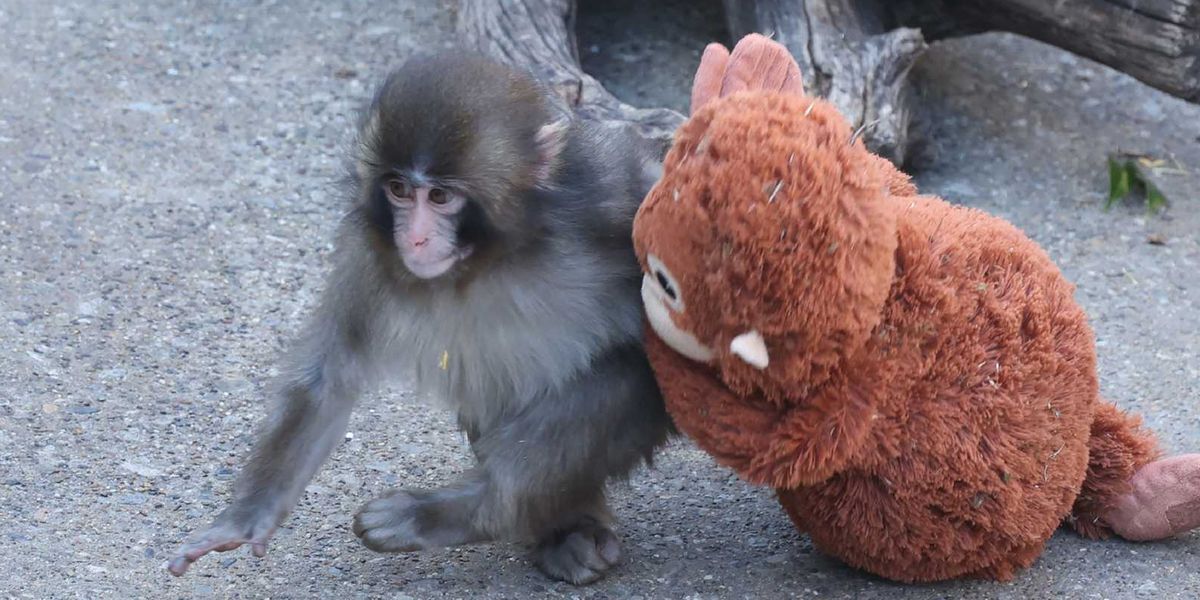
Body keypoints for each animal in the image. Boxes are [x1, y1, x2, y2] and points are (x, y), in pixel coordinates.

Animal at [165, 50, 674, 585]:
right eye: (398, 191)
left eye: (441, 197)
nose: (415, 239)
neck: (494, 256)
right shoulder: (369, 252)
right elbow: (328, 378)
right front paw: (246, 517)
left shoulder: (611, 194)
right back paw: (562, 530)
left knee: (624, 376)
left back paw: (465, 510)